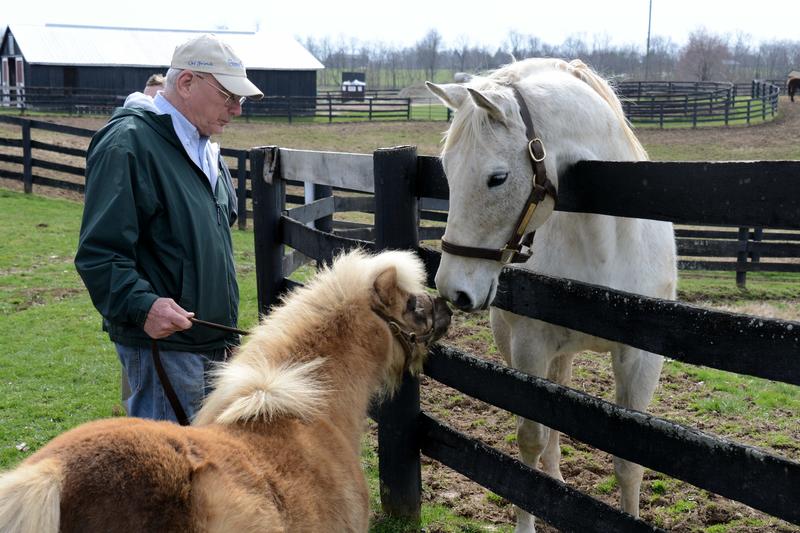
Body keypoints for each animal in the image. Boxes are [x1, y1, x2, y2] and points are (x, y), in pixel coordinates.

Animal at [424, 56, 676, 528]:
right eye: (446, 170)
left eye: (497, 178)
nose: (454, 290)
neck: (602, 248)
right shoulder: (531, 348)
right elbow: (531, 441)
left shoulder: (641, 359)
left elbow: (629, 464)